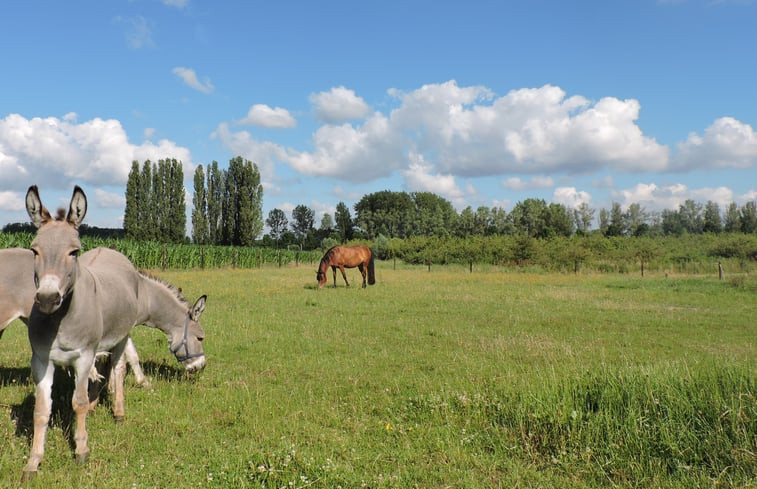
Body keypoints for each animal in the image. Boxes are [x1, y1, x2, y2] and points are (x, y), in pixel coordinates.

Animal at [22, 187, 208, 480]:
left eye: (74, 251)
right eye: (34, 250)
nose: (48, 299)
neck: (146, 295)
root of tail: (109, 250)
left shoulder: (114, 337)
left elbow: (112, 370)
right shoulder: (43, 360)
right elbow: (44, 409)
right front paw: (33, 463)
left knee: (117, 365)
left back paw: (116, 409)